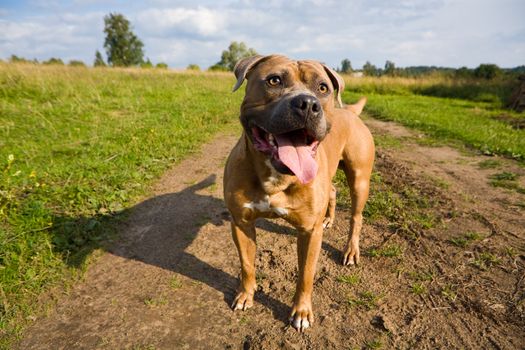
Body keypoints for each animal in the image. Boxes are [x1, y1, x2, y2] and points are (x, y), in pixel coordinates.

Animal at [221, 54, 372, 330]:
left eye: (323, 88)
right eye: (274, 80)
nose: (308, 104)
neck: (277, 176)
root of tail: (348, 112)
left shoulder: (309, 233)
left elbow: (306, 275)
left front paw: (301, 312)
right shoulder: (241, 223)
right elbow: (247, 264)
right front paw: (246, 295)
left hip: (359, 180)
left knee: (356, 217)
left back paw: (351, 251)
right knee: (333, 190)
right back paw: (328, 219)